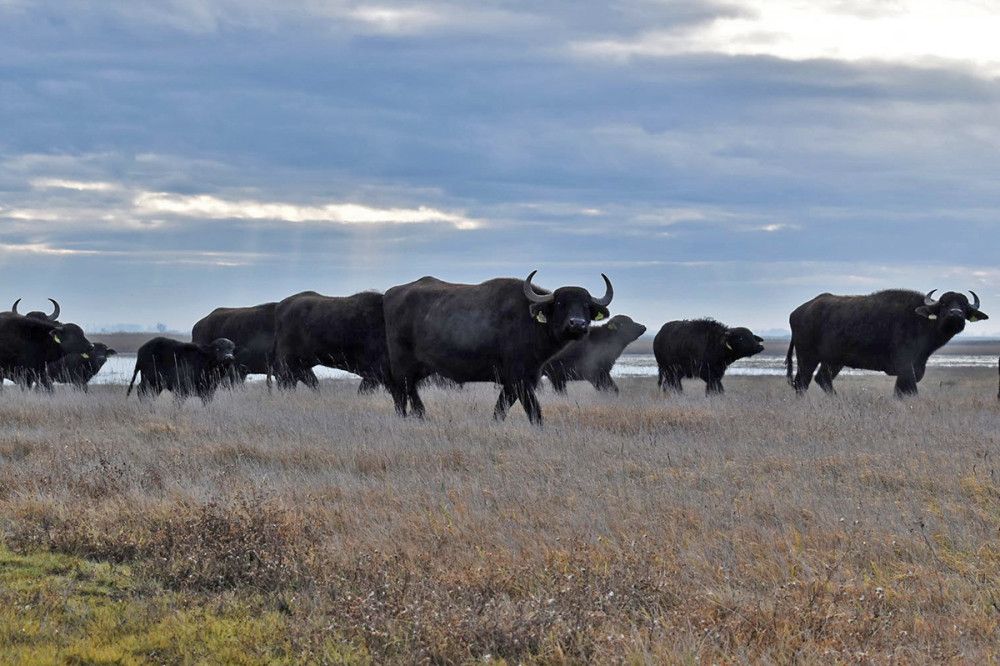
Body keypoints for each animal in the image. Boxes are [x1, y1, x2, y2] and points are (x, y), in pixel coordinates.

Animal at [382, 272, 612, 422]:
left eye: (586, 305)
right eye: (559, 304)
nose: (577, 324)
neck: (528, 320)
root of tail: (391, 294)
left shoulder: (522, 380)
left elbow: (501, 409)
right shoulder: (518, 379)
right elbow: (533, 411)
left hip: (422, 367)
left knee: (406, 390)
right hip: (402, 363)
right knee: (402, 390)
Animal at [784, 286, 988, 394]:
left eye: (964, 304)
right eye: (944, 303)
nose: (956, 314)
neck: (919, 320)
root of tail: (798, 311)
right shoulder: (906, 368)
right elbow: (910, 392)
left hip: (833, 361)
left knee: (822, 379)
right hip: (807, 357)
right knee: (802, 383)